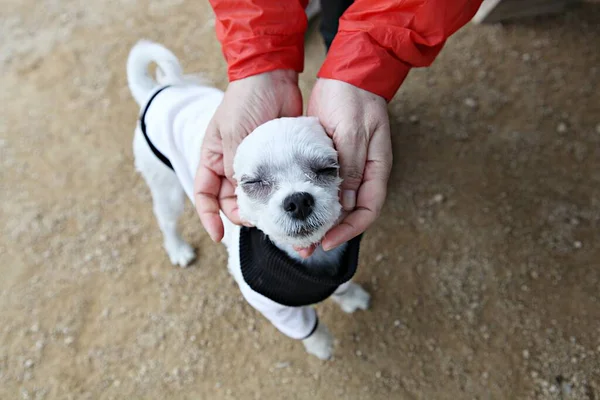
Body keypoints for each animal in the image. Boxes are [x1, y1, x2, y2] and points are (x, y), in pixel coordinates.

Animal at [126, 41, 370, 360]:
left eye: (327, 169)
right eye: (252, 182)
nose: (298, 201)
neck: (312, 258)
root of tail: (158, 90)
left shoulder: (339, 270)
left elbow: (343, 287)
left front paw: (351, 298)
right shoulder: (274, 308)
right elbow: (310, 327)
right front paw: (321, 345)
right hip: (168, 191)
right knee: (166, 223)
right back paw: (178, 250)